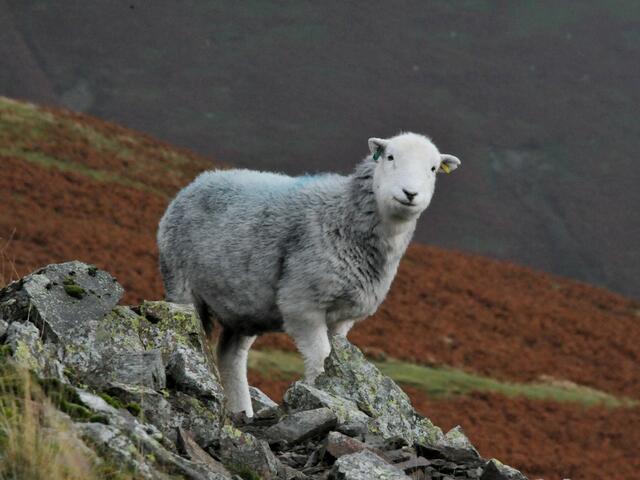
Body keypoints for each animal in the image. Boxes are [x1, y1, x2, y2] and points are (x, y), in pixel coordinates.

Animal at [158, 132, 462, 416]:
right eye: (390, 157)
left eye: (433, 168)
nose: (410, 193)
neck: (343, 214)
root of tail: (201, 179)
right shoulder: (303, 304)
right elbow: (321, 359)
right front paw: (321, 399)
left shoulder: (343, 318)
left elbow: (338, 360)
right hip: (182, 285)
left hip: (242, 306)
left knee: (231, 355)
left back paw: (242, 410)